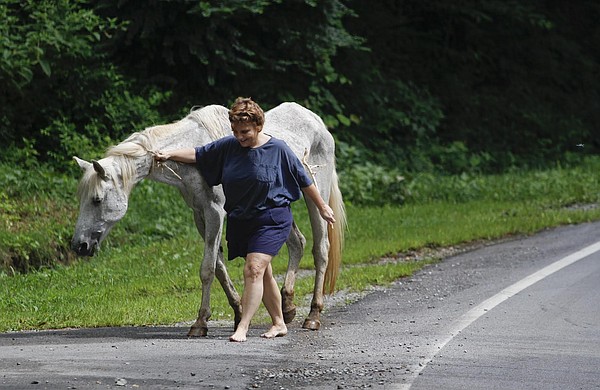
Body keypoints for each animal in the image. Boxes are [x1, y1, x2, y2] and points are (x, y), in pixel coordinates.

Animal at [72, 102, 346, 336]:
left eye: (96, 199)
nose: (79, 245)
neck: (194, 154)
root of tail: (316, 121)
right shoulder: (200, 214)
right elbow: (218, 267)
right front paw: (238, 312)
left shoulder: (215, 212)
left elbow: (206, 269)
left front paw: (200, 322)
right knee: (298, 243)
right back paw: (287, 307)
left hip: (315, 197)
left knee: (321, 249)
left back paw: (313, 315)